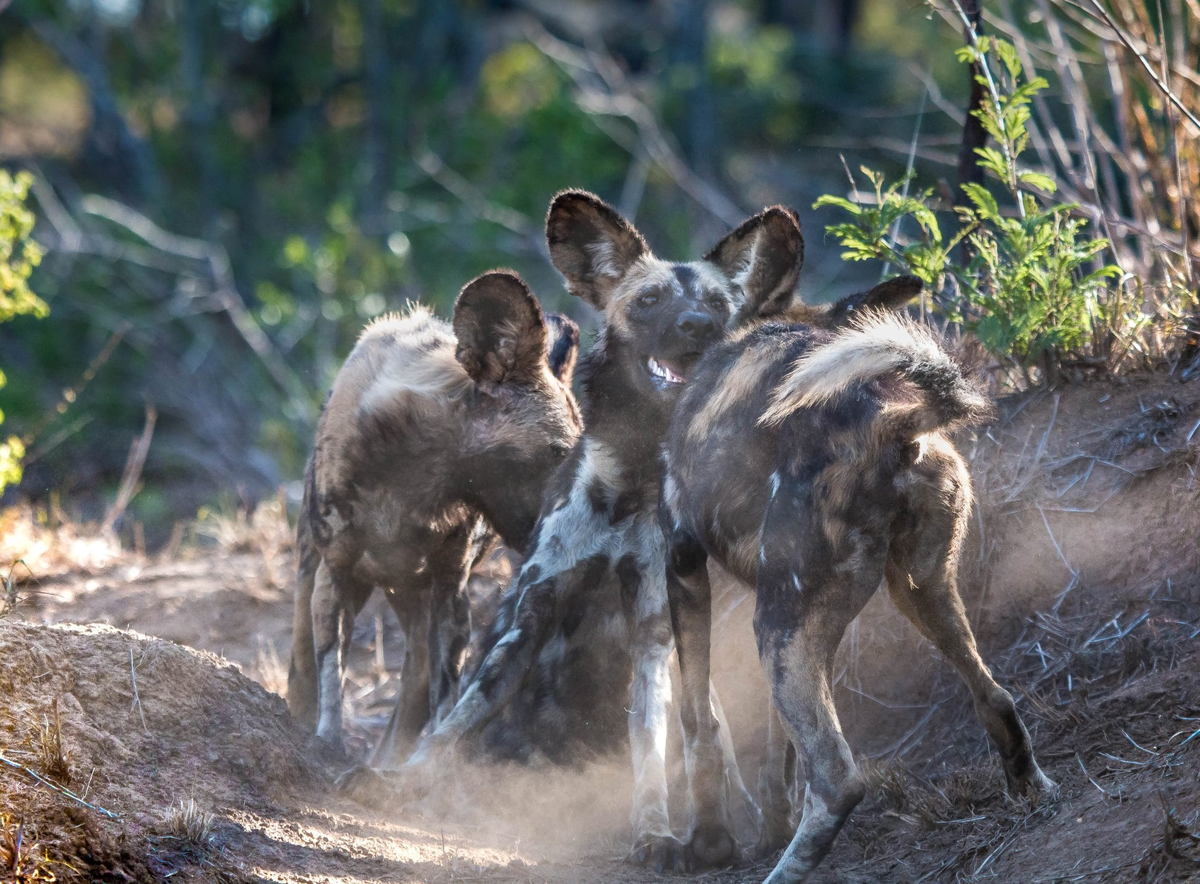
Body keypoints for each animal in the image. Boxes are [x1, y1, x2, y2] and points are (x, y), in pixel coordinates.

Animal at [295, 268, 585, 758]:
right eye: (562, 454)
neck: (413, 480)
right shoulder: (335, 574)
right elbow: (331, 676)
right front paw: (325, 744)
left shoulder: (452, 590)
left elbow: (445, 698)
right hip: (318, 576)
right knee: (302, 663)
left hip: (416, 598)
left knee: (416, 681)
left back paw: (385, 760)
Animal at [388, 188, 806, 868]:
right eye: (649, 300)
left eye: (719, 305)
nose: (699, 327)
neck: (630, 480)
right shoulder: (529, 616)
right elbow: (462, 714)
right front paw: (401, 780)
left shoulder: (653, 627)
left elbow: (653, 745)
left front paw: (655, 832)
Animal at [657, 309, 1060, 882]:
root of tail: (892, 421)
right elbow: (777, 753)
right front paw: (769, 827)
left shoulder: (683, 563)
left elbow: (698, 725)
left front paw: (710, 840)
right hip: (915, 593)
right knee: (995, 696)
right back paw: (1032, 788)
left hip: (777, 627)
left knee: (837, 780)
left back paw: (784, 873)